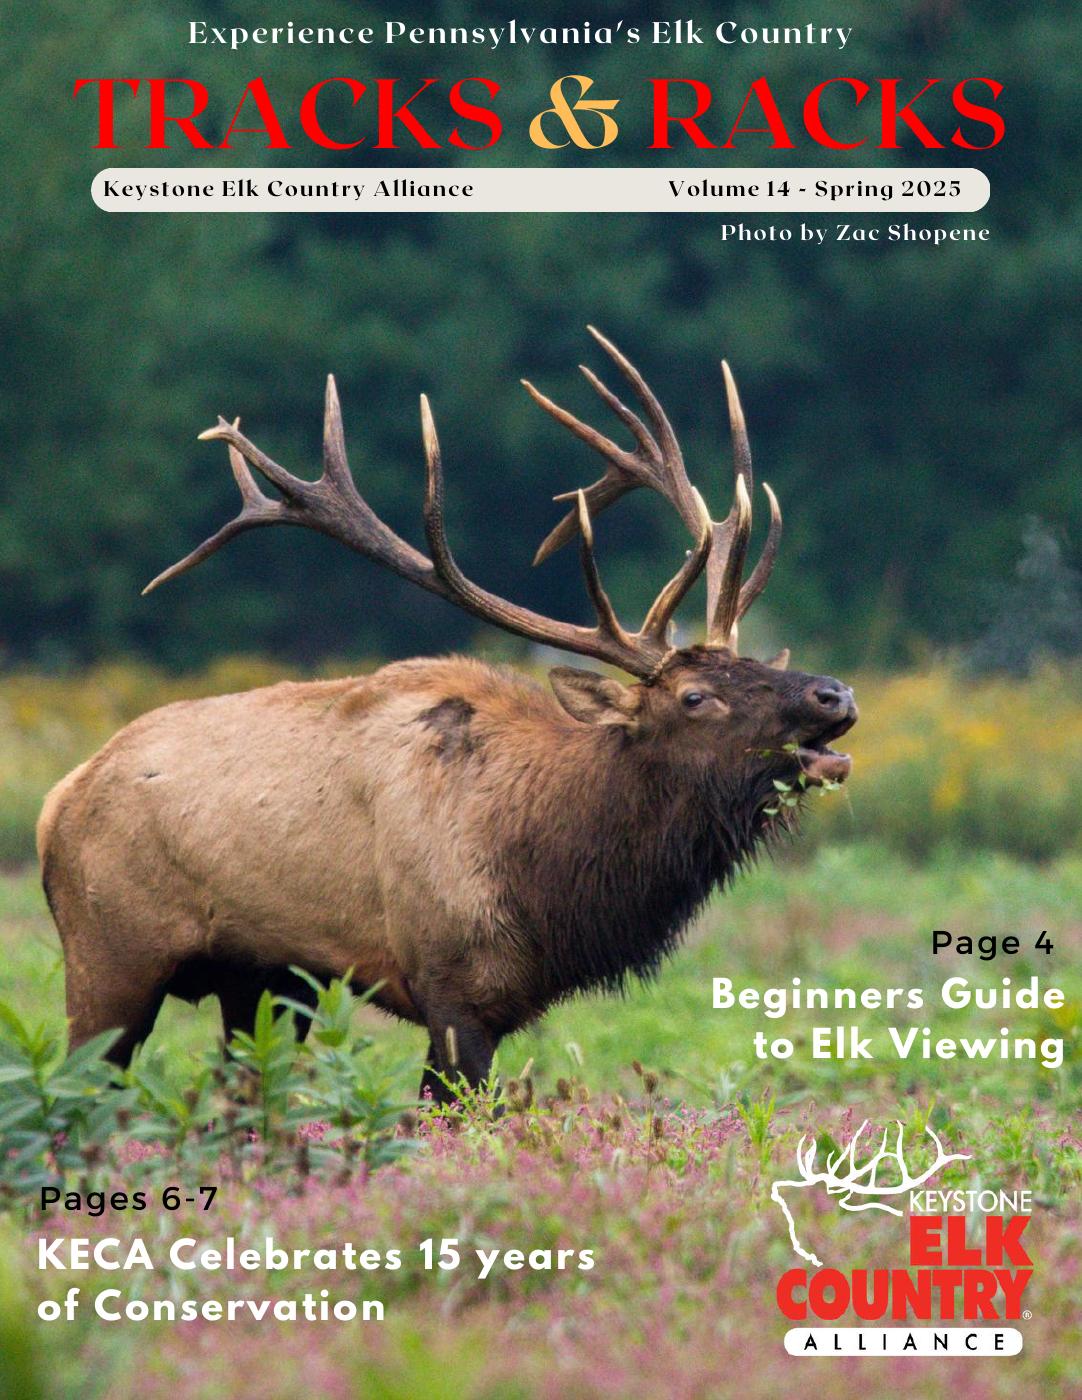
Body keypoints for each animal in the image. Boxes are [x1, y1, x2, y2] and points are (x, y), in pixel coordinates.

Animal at [37, 329, 857, 1103]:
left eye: (761, 665)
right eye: (694, 697)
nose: (835, 695)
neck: (550, 884)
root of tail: (58, 801)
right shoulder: (451, 981)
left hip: (262, 982)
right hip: (108, 953)